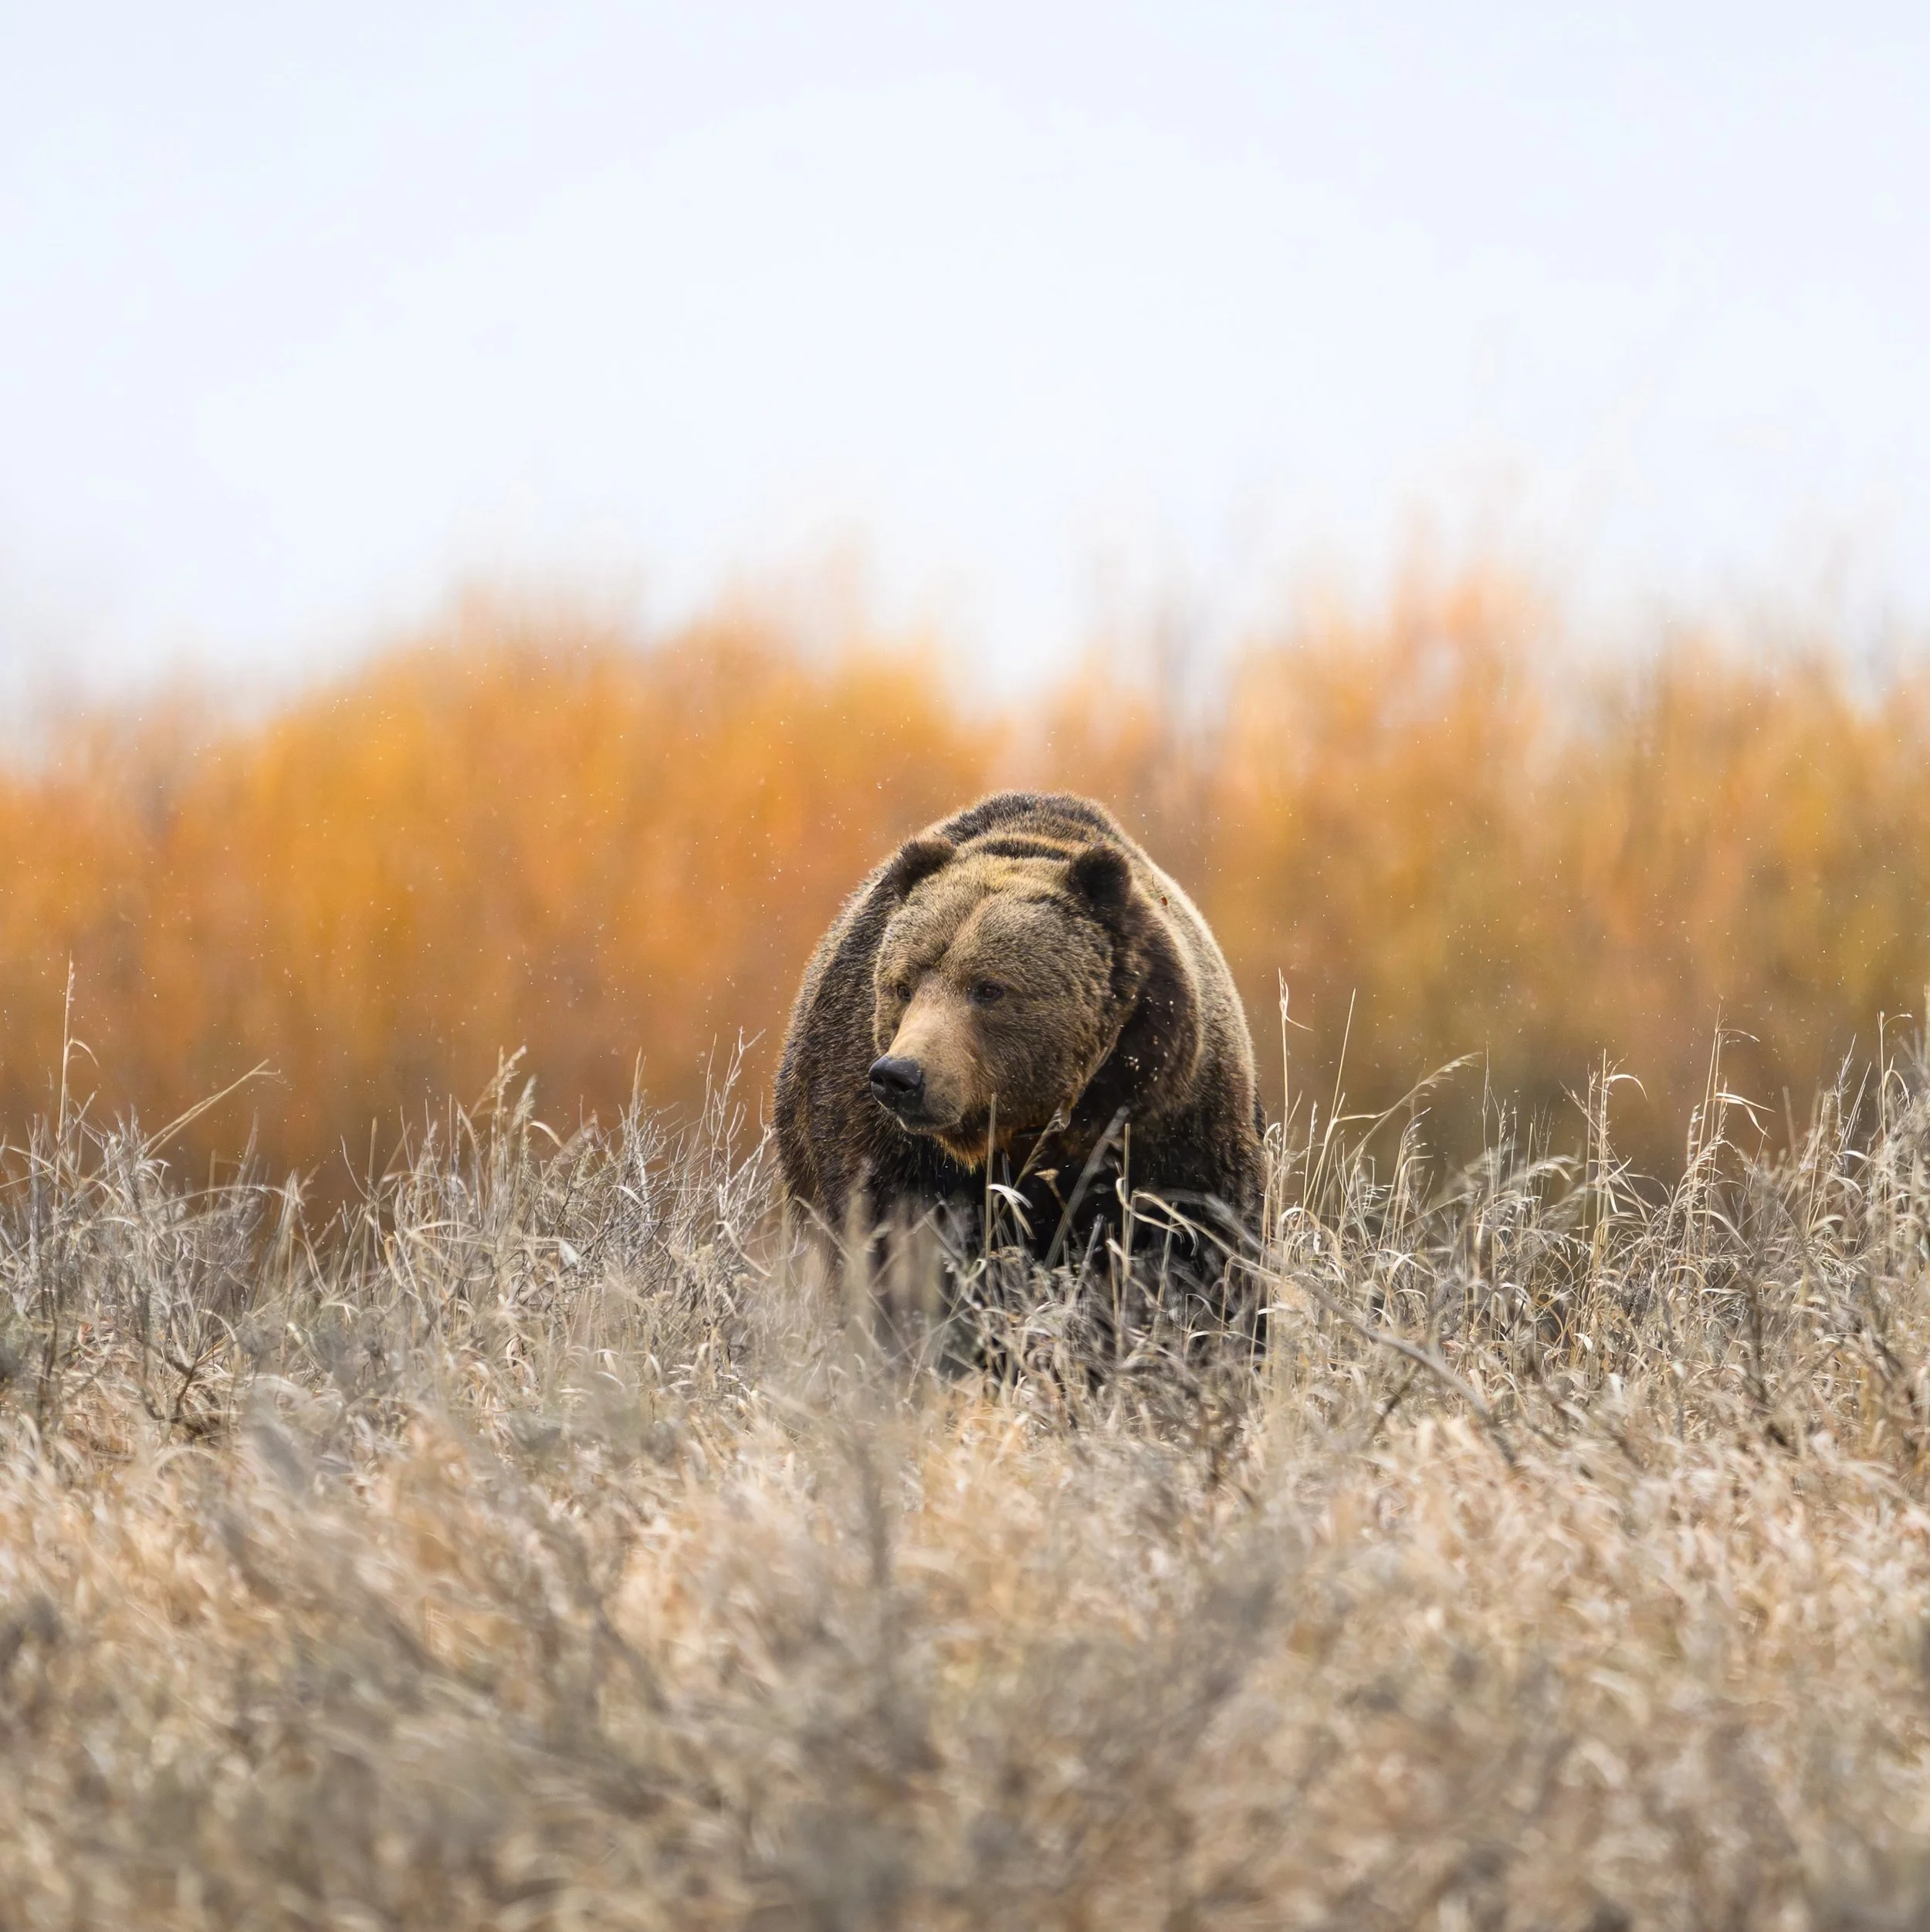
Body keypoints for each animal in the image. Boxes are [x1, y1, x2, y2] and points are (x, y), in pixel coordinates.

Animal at [774, 791, 1264, 1287]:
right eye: (903, 986)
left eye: (988, 988)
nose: (900, 1076)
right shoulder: (880, 1136)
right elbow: (890, 1239)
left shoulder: (1173, 1114)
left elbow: (1199, 1239)